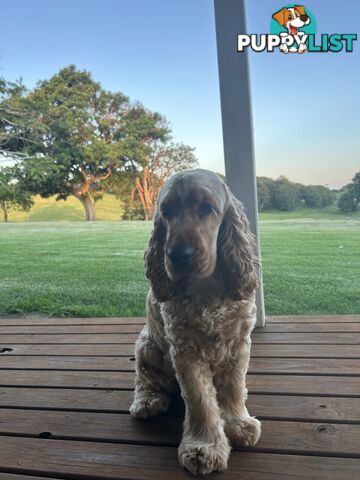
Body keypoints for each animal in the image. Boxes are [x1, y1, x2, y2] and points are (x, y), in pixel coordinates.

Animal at [131, 170, 260, 476]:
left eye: (206, 208)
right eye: (167, 212)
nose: (179, 255)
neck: (207, 289)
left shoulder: (238, 343)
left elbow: (233, 386)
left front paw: (238, 424)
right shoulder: (185, 351)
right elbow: (200, 399)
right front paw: (204, 448)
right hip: (146, 345)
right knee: (145, 377)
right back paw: (147, 401)